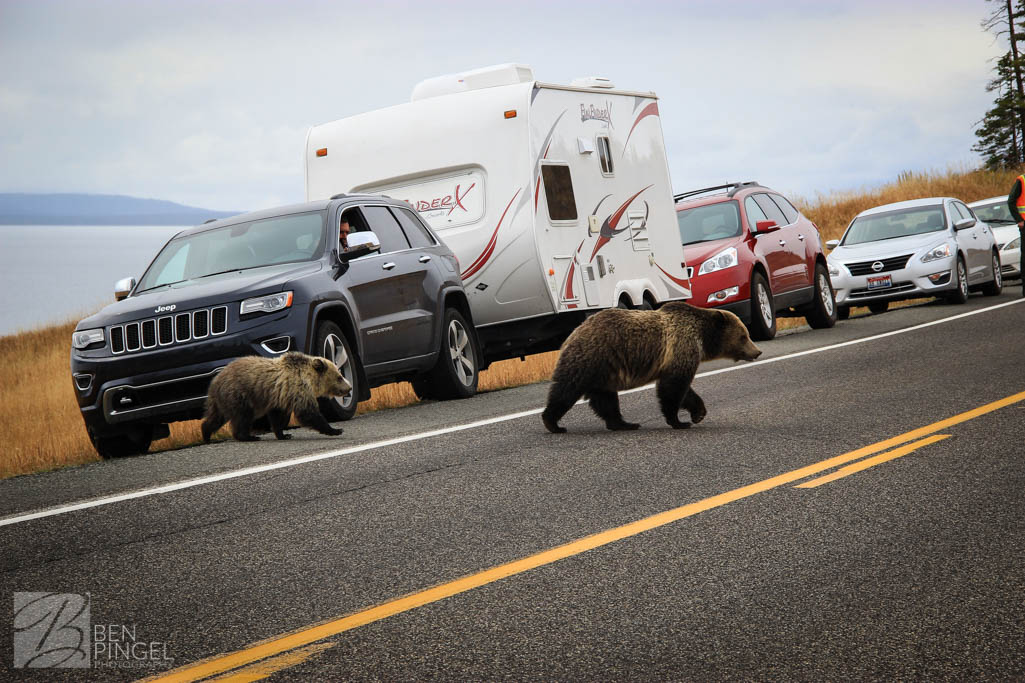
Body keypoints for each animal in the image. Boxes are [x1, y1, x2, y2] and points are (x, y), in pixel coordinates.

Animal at [199, 350, 352, 440]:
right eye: (339, 377)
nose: (349, 388)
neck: (309, 380)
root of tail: (214, 382)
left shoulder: (281, 397)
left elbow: (277, 417)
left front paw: (284, 434)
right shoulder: (297, 390)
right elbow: (308, 413)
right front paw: (335, 430)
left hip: (221, 401)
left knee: (216, 417)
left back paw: (206, 434)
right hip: (239, 394)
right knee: (243, 417)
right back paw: (248, 436)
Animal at [545, 301, 762, 430]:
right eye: (744, 336)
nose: (757, 351)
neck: (702, 338)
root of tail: (573, 333)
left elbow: (684, 390)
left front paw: (698, 413)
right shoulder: (681, 347)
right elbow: (673, 389)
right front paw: (679, 421)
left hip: (604, 371)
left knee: (605, 399)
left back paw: (624, 423)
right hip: (591, 358)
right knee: (566, 390)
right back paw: (553, 423)